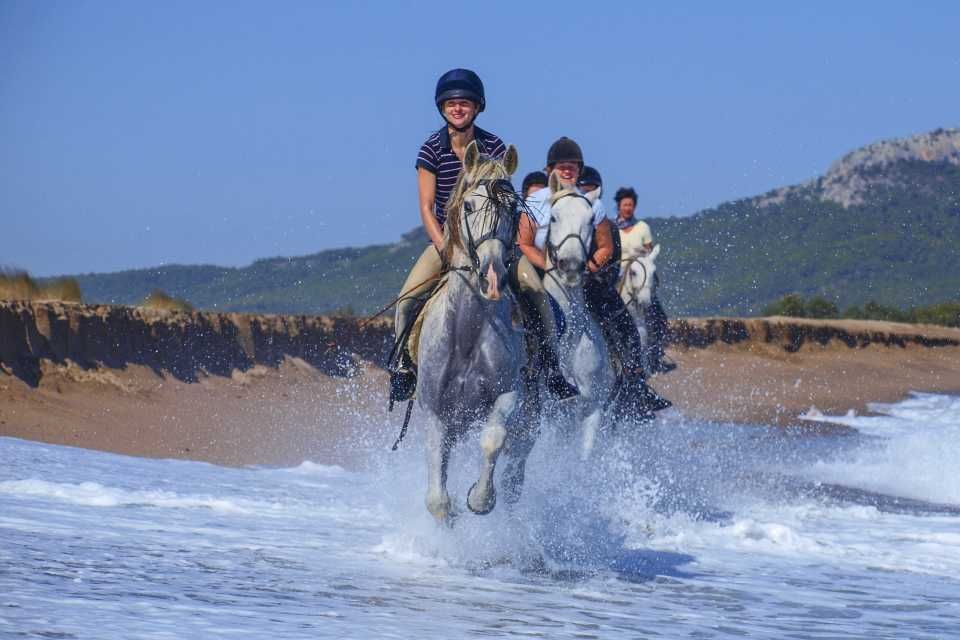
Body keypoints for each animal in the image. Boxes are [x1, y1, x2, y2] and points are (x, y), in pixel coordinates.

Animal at [415, 140, 526, 524]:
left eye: (514, 209)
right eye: (469, 205)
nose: (492, 277)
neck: (465, 336)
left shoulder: (509, 394)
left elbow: (493, 439)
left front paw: (479, 499)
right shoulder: (434, 410)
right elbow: (436, 497)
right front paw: (449, 517)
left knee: (517, 463)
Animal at [540, 171, 616, 459]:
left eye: (591, 220)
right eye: (553, 217)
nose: (571, 265)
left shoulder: (592, 409)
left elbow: (584, 458)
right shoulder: (550, 416)